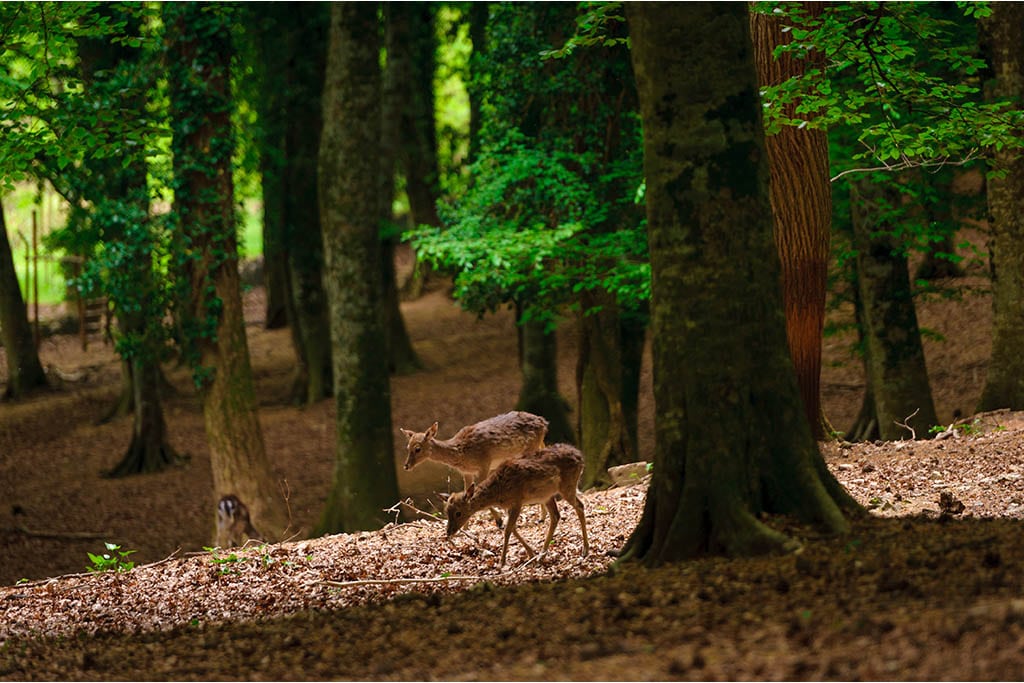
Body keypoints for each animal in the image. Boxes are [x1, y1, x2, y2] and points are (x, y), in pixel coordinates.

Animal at [444, 444, 589, 565]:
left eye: (458, 513)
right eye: (446, 512)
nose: (449, 531)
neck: (498, 491)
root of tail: (581, 458)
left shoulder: (517, 501)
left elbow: (508, 530)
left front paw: (501, 562)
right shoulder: (510, 506)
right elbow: (512, 528)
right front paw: (531, 554)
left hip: (567, 485)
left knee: (580, 506)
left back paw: (585, 550)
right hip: (547, 495)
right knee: (556, 516)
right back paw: (542, 556)